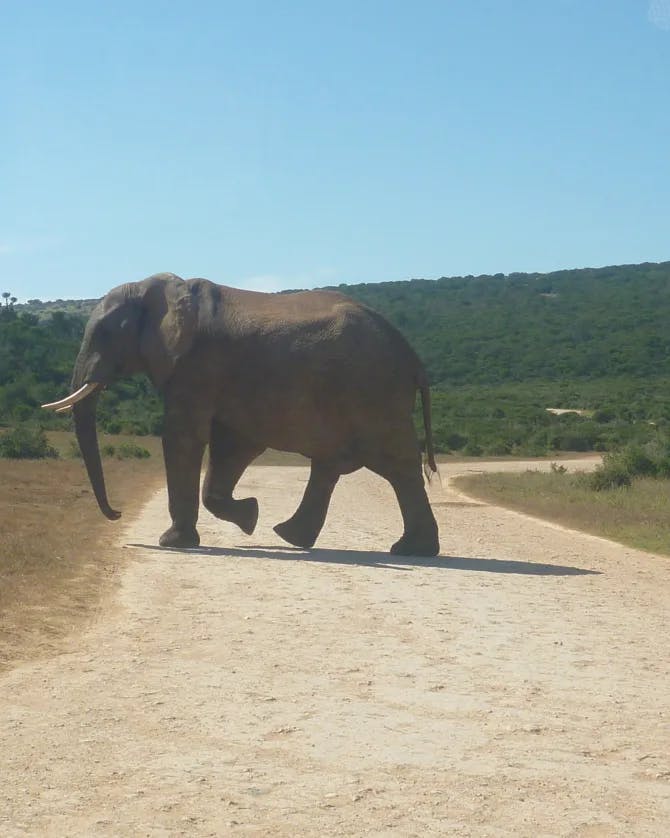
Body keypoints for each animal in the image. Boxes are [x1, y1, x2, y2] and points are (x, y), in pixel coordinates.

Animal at [42, 274, 440, 556]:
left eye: (105, 333)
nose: (118, 514)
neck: (159, 290)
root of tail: (414, 358)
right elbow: (232, 446)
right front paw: (250, 517)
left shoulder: (197, 366)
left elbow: (183, 437)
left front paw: (173, 543)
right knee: (333, 465)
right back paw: (293, 537)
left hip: (375, 396)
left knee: (396, 465)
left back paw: (409, 550)